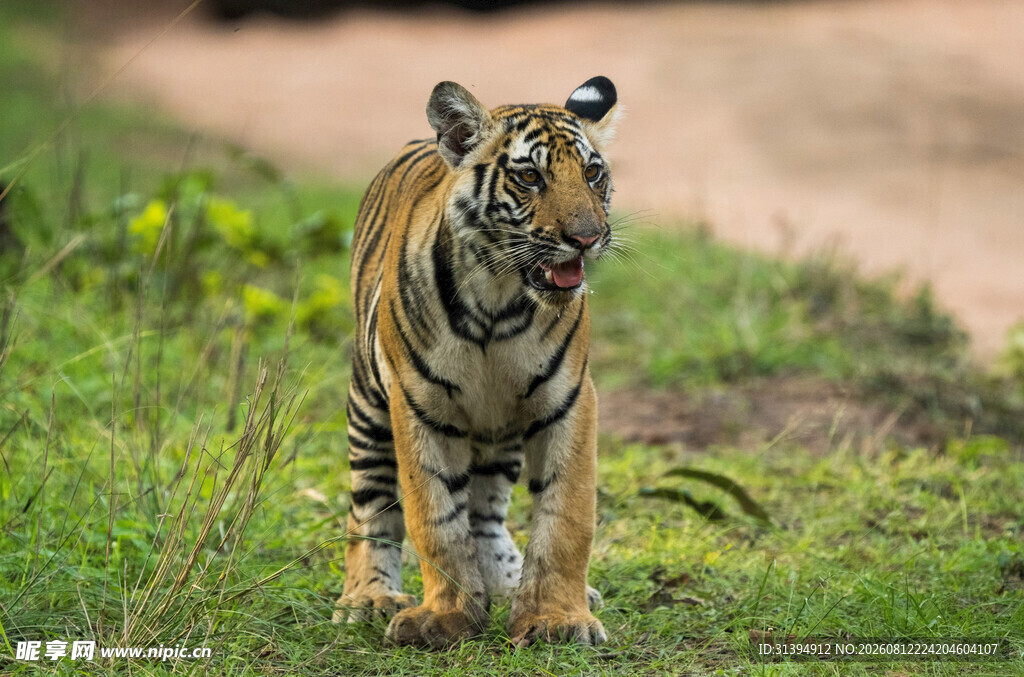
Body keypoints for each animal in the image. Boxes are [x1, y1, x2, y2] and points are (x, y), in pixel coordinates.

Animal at [333, 76, 620, 648]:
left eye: (592, 173)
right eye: (530, 176)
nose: (587, 238)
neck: (499, 299)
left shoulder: (568, 400)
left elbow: (566, 515)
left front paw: (556, 618)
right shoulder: (418, 405)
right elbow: (435, 518)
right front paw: (446, 618)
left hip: (501, 429)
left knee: (486, 512)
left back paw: (509, 583)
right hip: (368, 407)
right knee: (371, 507)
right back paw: (368, 598)